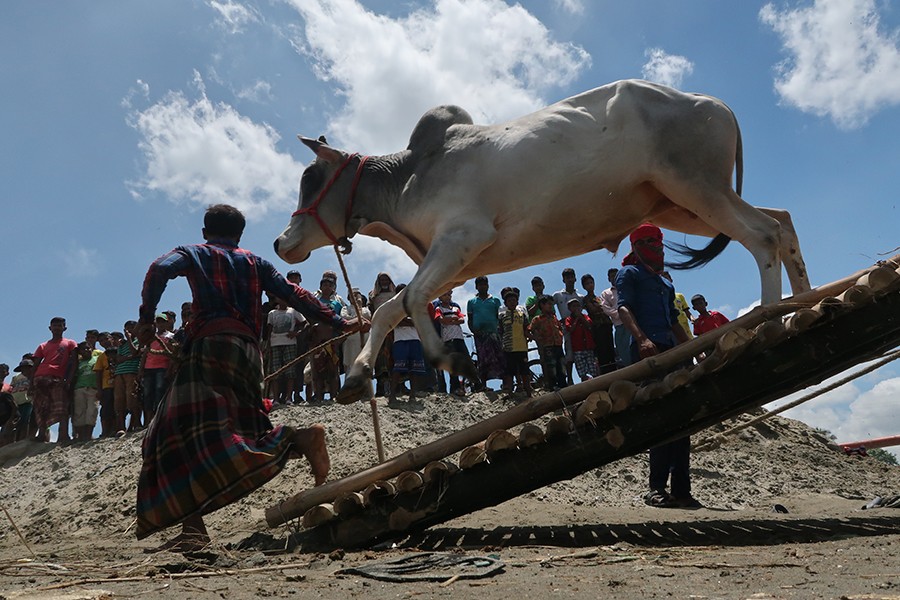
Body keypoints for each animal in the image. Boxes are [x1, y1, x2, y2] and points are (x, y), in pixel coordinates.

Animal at [274, 77, 808, 400]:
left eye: (310, 179)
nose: (280, 243)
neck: (407, 178)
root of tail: (718, 105)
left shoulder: (463, 237)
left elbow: (411, 299)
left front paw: (452, 360)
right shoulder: (458, 261)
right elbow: (392, 307)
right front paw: (358, 373)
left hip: (696, 188)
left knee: (763, 234)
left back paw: (767, 321)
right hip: (680, 203)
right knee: (782, 221)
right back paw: (801, 306)